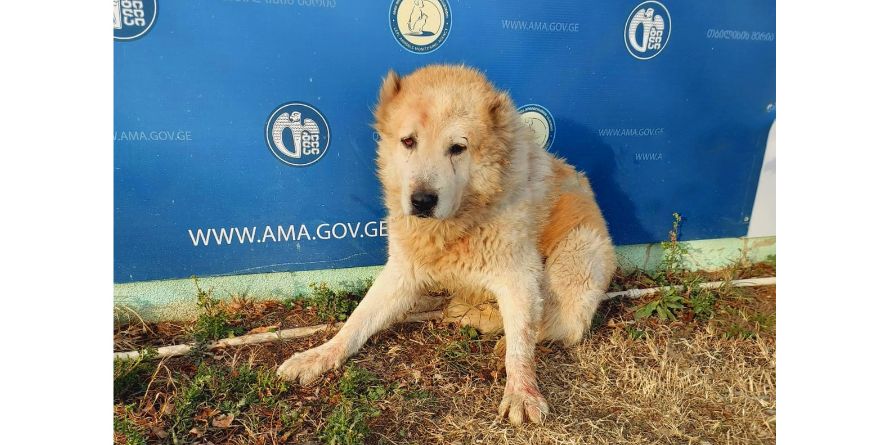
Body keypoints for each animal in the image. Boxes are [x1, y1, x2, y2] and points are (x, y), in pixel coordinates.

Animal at [280, 65, 616, 424]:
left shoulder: (520, 278)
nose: (422, 201)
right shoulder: (401, 272)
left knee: (562, 325)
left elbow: (522, 342)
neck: (460, 223)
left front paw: (521, 390)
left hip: (576, 255)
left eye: (457, 148)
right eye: (408, 141)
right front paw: (320, 354)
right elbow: (357, 321)